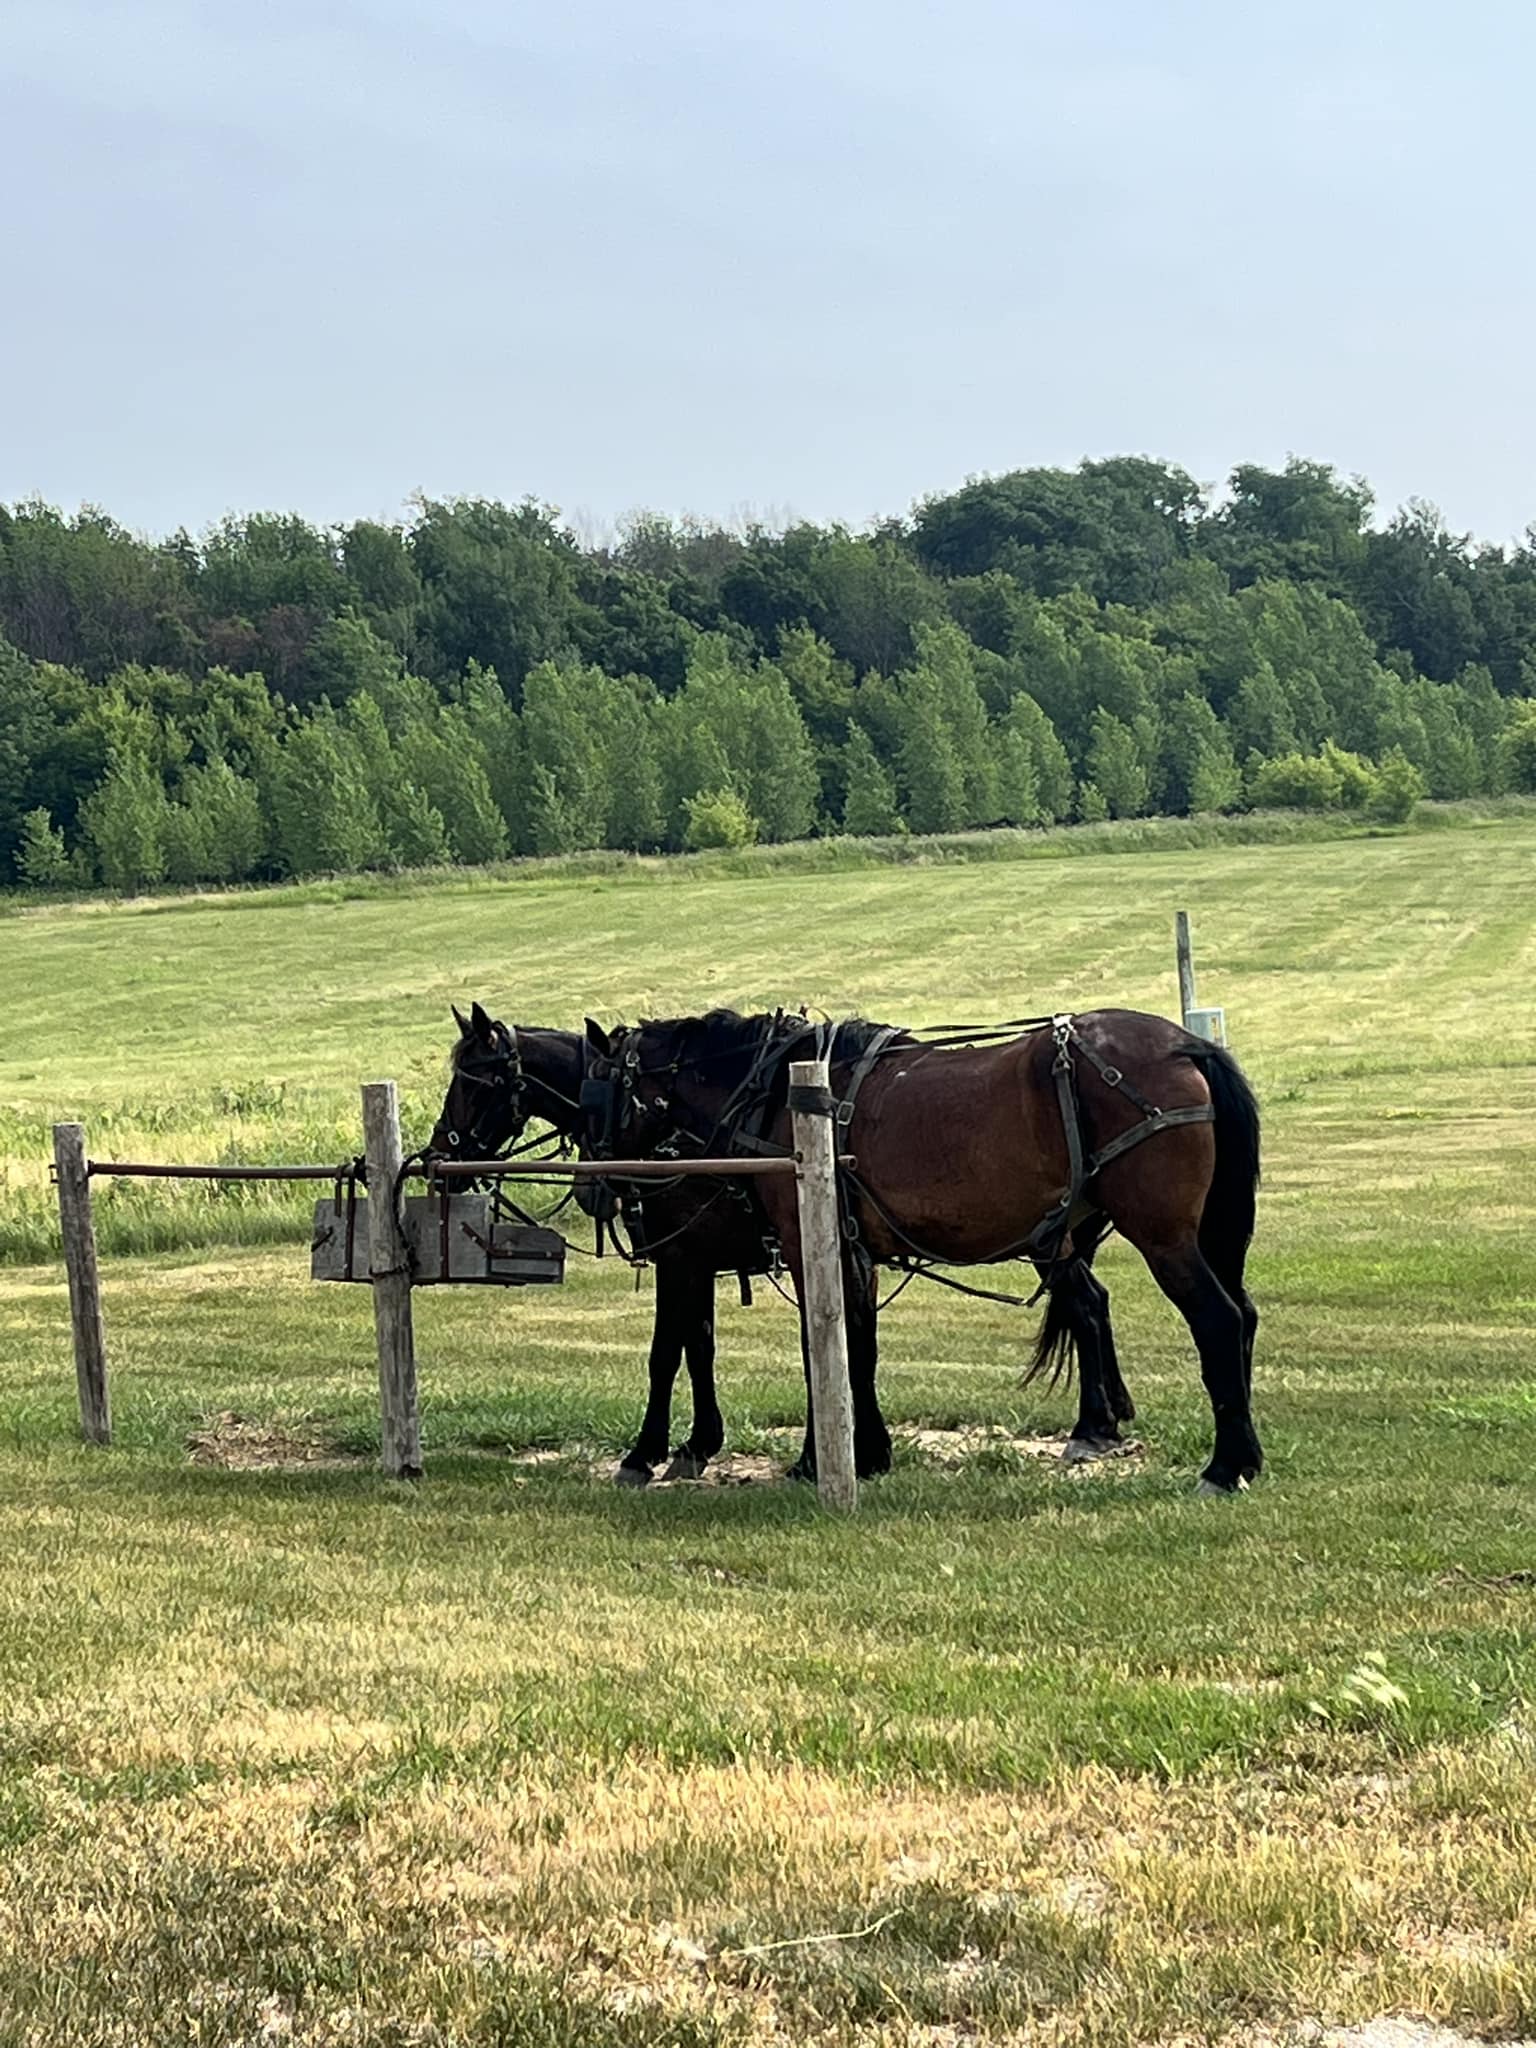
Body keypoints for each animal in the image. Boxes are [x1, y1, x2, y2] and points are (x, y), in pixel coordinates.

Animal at [581, 1007, 1263, 1493]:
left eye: (593, 1098)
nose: (595, 1189)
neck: (781, 1095)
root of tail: (1184, 1046)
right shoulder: (851, 1250)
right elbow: (857, 1348)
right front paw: (870, 1452)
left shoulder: (806, 1246)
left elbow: (821, 1349)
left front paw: (815, 1460)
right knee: (1234, 1315)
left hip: (1163, 1238)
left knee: (1219, 1320)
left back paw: (1224, 1466)